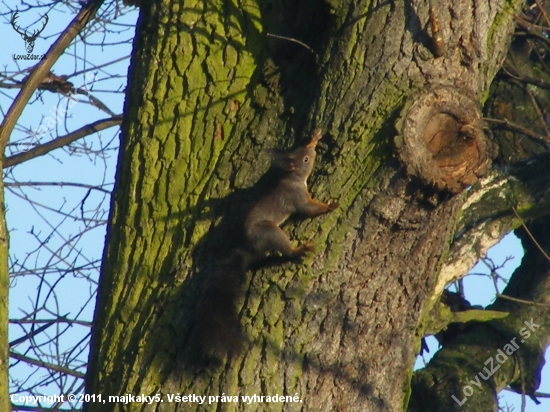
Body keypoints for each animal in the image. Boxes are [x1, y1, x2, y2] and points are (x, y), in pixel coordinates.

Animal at [194, 128, 340, 360]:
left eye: (304, 152)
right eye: (305, 160)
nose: (313, 152)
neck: (292, 178)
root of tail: (248, 247)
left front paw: (314, 138)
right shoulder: (297, 198)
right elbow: (308, 209)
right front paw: (328, 206)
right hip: (268, 231)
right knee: (285, 250)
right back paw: (298, 250)